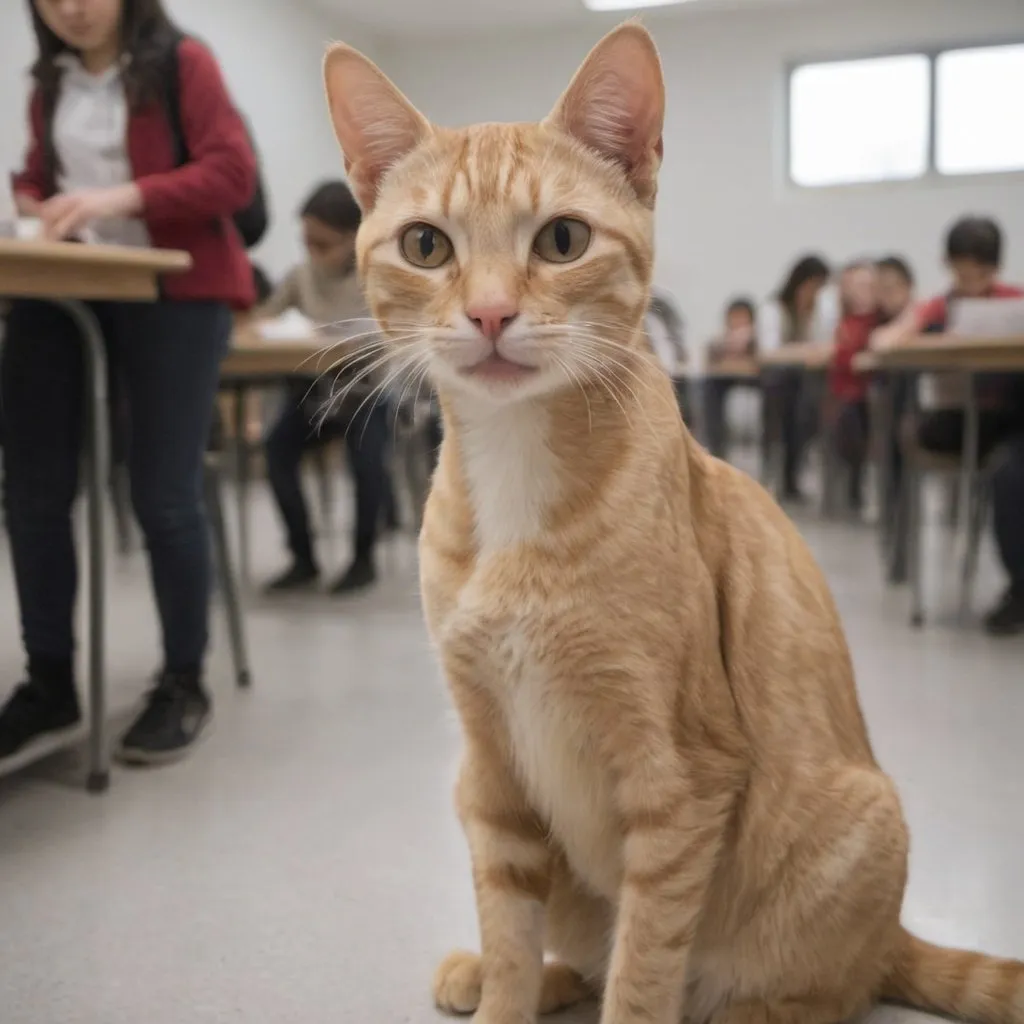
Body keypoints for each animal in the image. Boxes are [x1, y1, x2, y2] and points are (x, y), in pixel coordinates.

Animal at [323, 22, 1024, 1024]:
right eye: (425, 246)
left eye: (562, 239)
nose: (490, 313)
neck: (517, 471)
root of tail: (893, 935)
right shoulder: (489, 765)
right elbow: (510, 927)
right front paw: (502, 985)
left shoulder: (681, 782)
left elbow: (644, 967)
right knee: (575, 949)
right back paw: (498, 974)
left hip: (859, 832)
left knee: (803, 995)